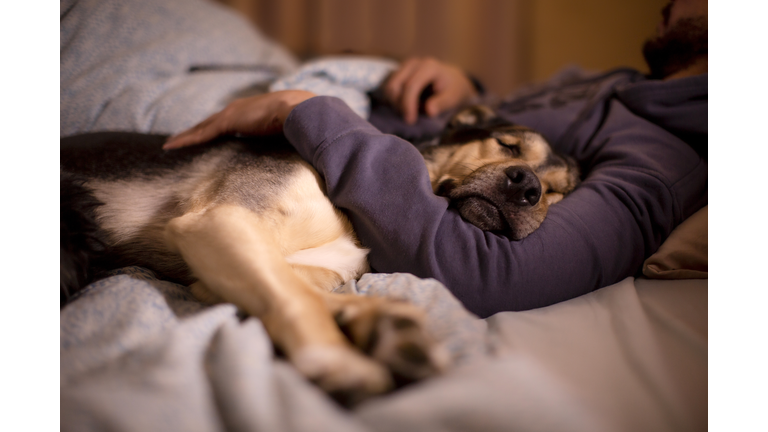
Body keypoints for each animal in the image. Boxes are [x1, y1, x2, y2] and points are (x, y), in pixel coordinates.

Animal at [60, 106, 580, 404]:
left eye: (557, 192)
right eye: (506, 144)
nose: (529, 188)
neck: (354, 217)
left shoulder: (215, 267)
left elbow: (306, 287)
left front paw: (381, 323)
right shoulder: (219, 220)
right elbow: (298, 297)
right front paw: (338, 357)